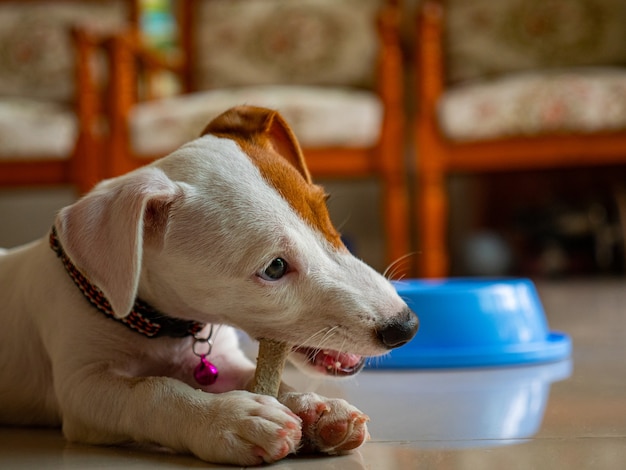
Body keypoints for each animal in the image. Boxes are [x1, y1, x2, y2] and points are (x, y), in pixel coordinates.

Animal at [2, 106, 420, 466]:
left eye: (324, 213)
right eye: (274, 267)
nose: (406, 326)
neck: (167, 329)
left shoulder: (225, 360)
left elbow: (257, 377)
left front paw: (316, 408)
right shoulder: (82, 389)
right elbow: (151, 390)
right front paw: (231, 419)